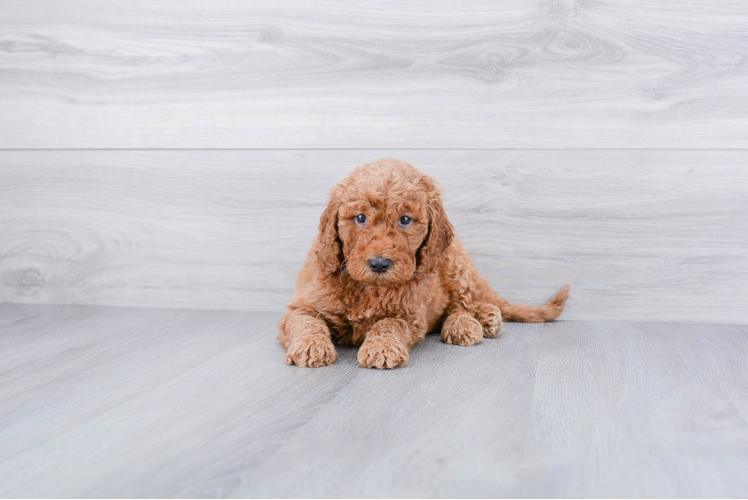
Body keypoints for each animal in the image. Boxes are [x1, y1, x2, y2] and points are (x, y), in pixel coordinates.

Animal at [278, 158, 568, 370]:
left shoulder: (409, 314)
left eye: (405, 220)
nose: (379, 264)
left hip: (453, 263)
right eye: (360, 218)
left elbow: (388, 323)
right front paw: (310, 346)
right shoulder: (302, 305)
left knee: (462, 303)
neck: (367, 287)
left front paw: (381, 347)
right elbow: (306, 322)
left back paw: (471, 322)